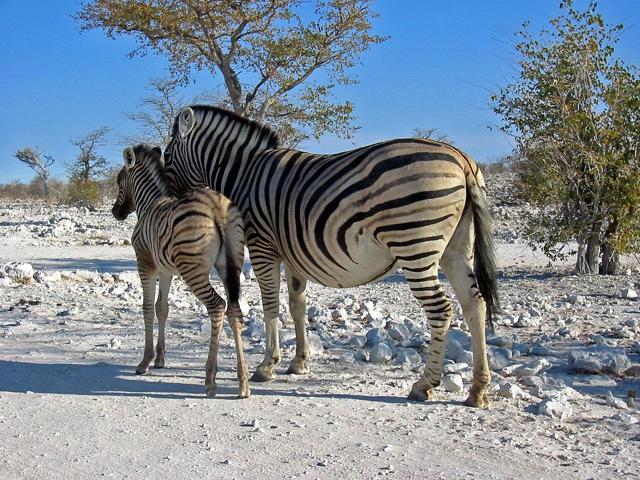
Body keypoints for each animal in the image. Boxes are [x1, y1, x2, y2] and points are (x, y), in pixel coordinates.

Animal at [110, 143, 250, 398]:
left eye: (118, 181)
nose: (116, 213)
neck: (149, 203)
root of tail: (216, 206)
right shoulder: (166, 271)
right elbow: (162, 308)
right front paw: (160, 359)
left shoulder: (145, 264)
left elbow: (147, 308)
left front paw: (145, 362)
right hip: (230, 265)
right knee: (233, 309)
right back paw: (243, 381)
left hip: (193, 269)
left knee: (217, 306)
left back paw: (210, 379)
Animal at [162, 106, 498, 408]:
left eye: (166, 155)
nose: (168, 204)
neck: (244, 174)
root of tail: (462, 159)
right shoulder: (293, 253)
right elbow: (297, 305)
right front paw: (299, 362)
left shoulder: (262, 245)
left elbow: (271, 305)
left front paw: (267, 366)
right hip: (455, 249)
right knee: (475, 304)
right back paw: (478, 390)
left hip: (415, 245)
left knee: (441, 310)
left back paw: (424, 385)